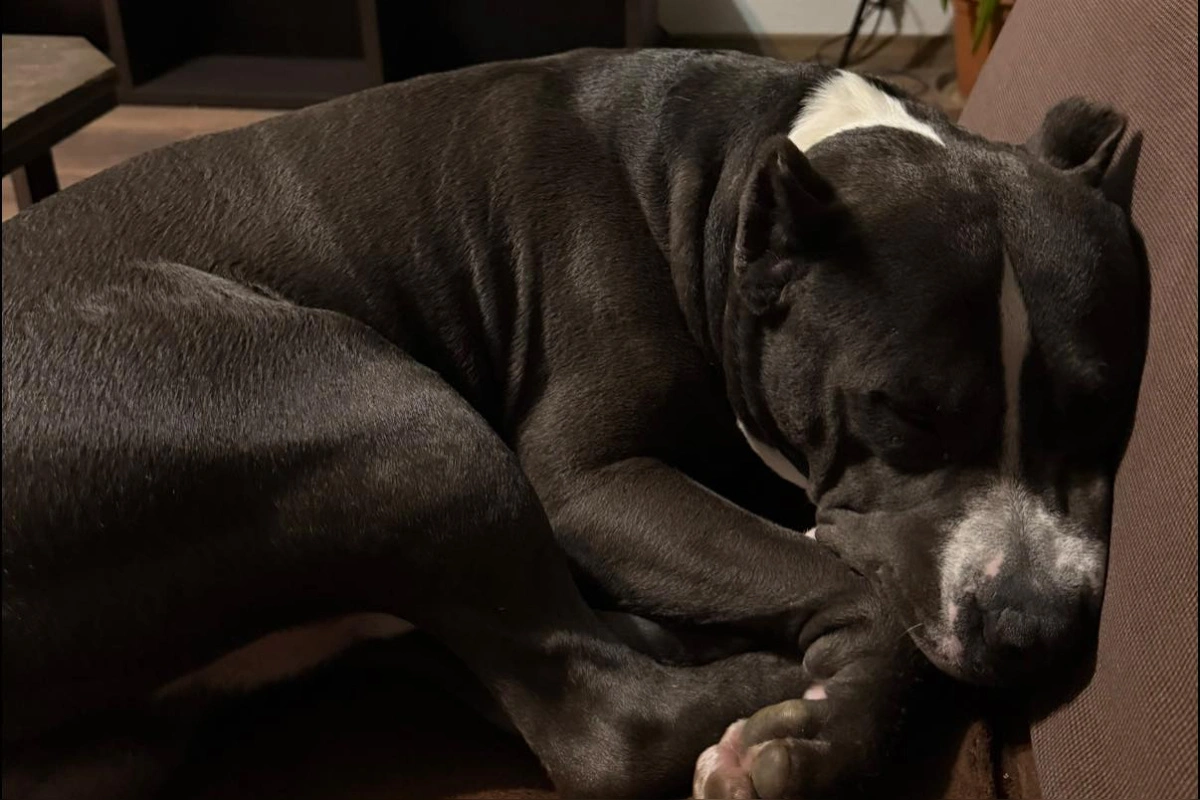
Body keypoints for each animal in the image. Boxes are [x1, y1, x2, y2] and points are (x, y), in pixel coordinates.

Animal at [2, 48, 1146, 799]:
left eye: (1103, 411)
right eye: (903, 414)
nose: (1036, 625)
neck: (725, 195)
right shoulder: (596, 479)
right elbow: (857, 588)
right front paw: (812, 742)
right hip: (389, 416)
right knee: (598, 723)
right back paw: (755, 682)